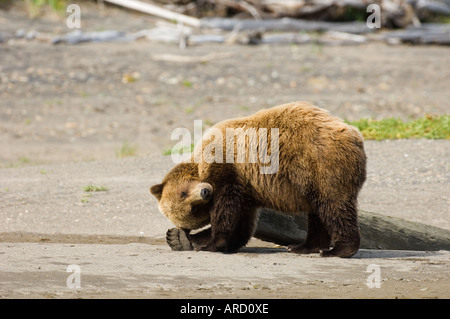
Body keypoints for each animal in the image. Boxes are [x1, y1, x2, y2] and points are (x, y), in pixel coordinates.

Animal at [149, 103, 368, 260]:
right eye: (192, 208)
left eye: (183, 193)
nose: (204, 192)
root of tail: (355, 136)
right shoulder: (247, 190)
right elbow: (241, 225)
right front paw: (179, 237)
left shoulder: (229, 170)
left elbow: (226, 211)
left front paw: (209, 244)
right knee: (318, 212)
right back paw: (303, 247)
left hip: (319, 164)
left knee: (333, 206)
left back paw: (338, 249)